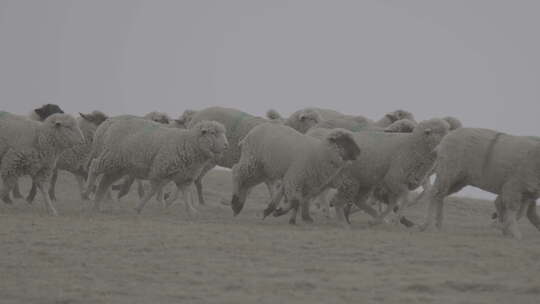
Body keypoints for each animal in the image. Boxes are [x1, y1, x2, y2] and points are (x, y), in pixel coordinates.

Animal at [85, 116, 228, 214]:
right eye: (213, 133)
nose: (227, 145)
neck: (187, 143)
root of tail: (110, 122)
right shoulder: (158, 170)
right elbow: (152, 191)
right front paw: (138, 207)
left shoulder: (184, 177)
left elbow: (185, 194)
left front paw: (191, 211)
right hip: (111, 158)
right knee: (94, 167)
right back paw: (86, 192)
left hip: (117, 166)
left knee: (105, 182)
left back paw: (96, 206)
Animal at [227, 121, 358, 223]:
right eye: (344, 141)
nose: (359, 152)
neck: (319, 153)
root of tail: (248, 135)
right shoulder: (294, 177)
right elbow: (295, 201)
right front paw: (279, 212)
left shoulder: (300, 182)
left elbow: (295, 200)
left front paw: (271, 211)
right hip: (253, 161)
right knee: (237, 172)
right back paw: (235, 204)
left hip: (260, 169)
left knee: (245, 182)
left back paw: (238, 206)